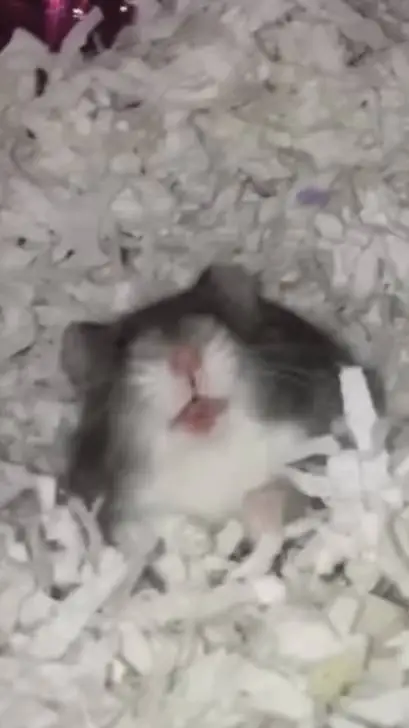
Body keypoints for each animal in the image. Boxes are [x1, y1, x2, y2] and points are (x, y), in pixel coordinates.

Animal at [58, 264, 385, 559]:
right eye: (120, 345)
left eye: (214, 312)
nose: (185, 356)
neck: (214, 449)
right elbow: (141, 530)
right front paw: (199, 541)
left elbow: (288, 486)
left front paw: (257, 519)